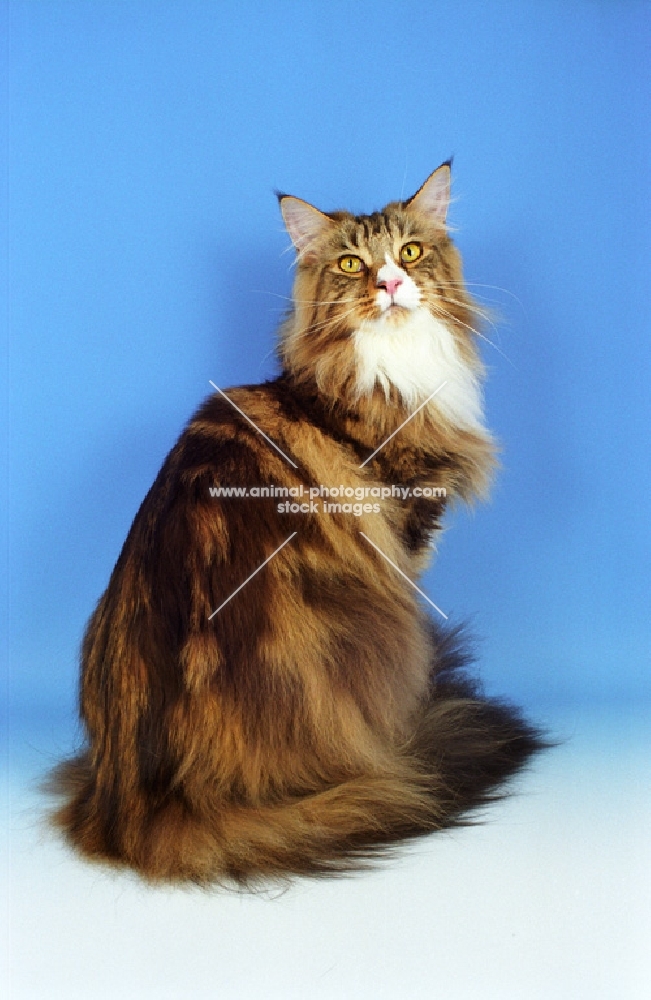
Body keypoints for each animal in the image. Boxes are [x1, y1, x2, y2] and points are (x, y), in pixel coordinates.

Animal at [48, 162, 544, 884]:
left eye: (410, 253)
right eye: (351, 263)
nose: (389, 283)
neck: (389, 369)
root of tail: (138, 804)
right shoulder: (405, 540)